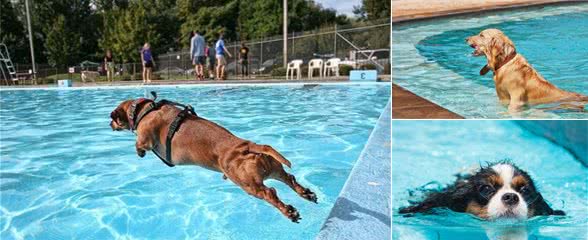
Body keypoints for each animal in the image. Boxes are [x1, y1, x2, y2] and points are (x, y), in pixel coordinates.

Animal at [108, 97, 314, 221]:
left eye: (113, 119)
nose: (109, 124)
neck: (145, 109)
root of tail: (247, 146)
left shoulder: (145, 138)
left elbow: (139, 143)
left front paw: (139, 152)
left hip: (249, 184)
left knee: (270, 193)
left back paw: (288, 211)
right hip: (274, 169)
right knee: (289, 178)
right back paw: (306, 193)